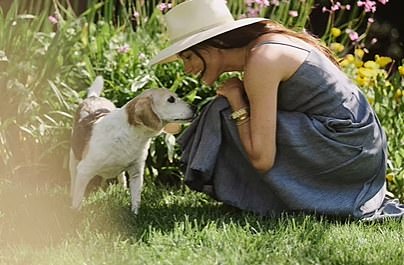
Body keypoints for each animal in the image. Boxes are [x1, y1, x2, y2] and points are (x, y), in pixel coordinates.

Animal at [69, 76, 194, 212]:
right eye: (171, 99)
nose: (195, 107)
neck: (132, 135)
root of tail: (93, 97)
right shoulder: (84, 171)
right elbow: (77, 200)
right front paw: (75, 214)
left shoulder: (136, 172)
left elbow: (136, 199)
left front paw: (135, 213)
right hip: (74, 161)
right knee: (73, 181)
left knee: (122, 179)